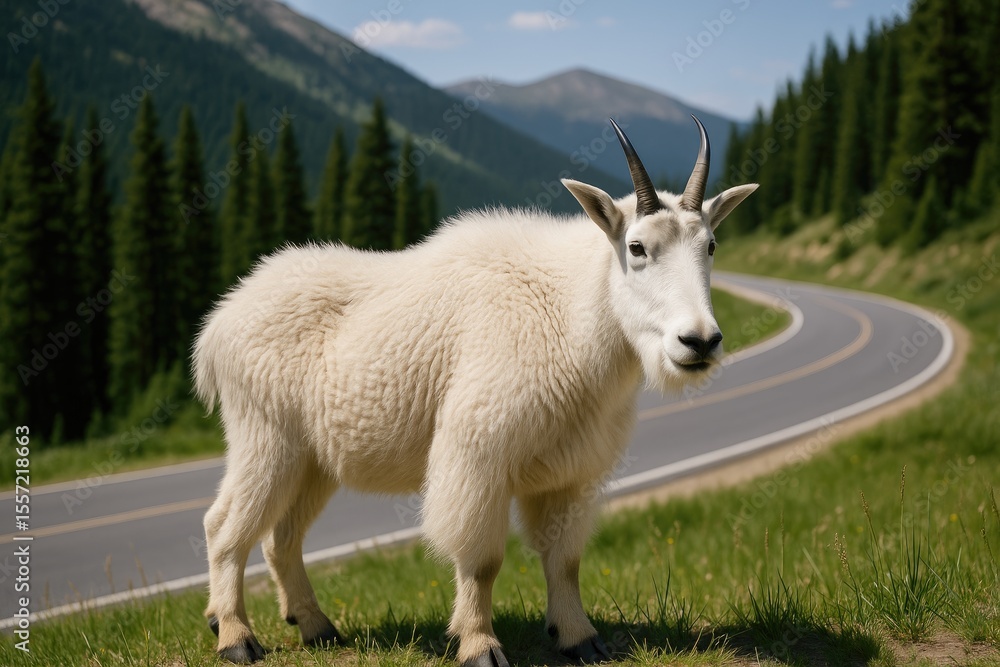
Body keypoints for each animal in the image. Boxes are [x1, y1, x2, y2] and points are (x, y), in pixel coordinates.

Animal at [193, 116, 757, 665]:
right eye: (637, 247)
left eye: (710, 246)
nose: (699, 341)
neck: (570, 313)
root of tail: (217, 325)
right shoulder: (479, 456)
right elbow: (482, 560)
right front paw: (479, 646)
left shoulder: (570, 471)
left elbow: (565, 560)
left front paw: (578, 638)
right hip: (266, 437)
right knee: (225, 527)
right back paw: (235, 636)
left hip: (312, 460)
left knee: (281, 537)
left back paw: (316, 628)